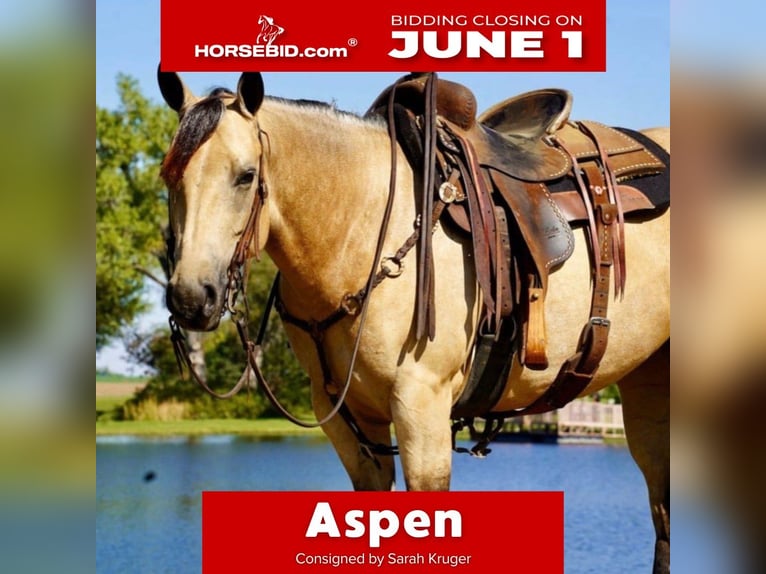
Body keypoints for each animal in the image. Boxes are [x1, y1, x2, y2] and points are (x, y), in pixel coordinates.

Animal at [157, 71, 670, 573]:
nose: (190, 297)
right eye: (169, 176)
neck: (356, 232)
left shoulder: (422, 406)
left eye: (246, 176)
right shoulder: (348, 421)